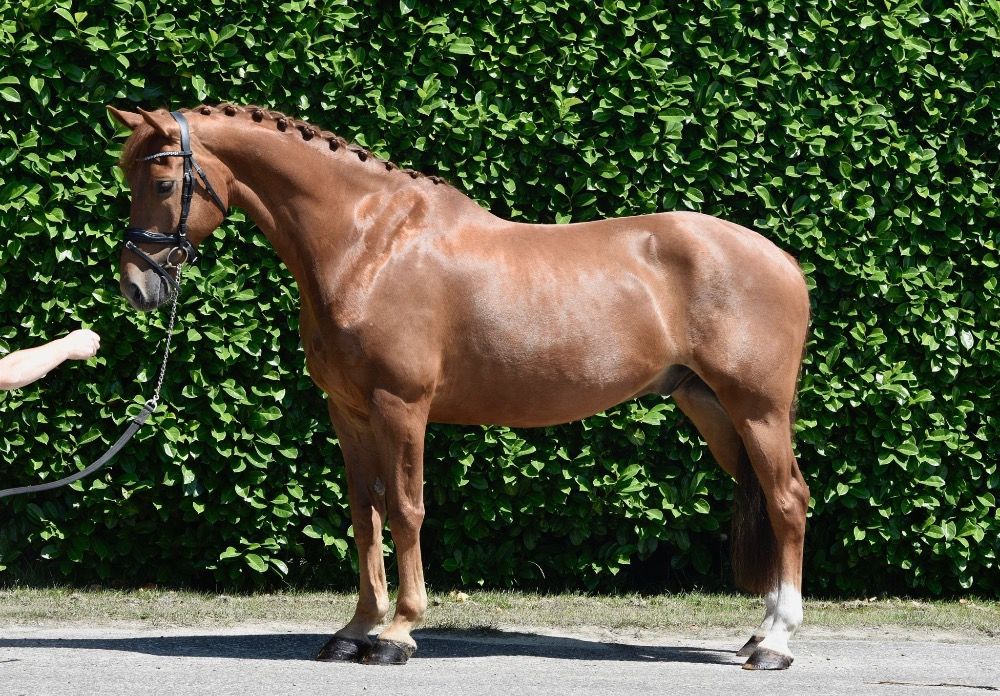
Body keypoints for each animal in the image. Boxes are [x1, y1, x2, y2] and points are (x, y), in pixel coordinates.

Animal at [108, 103, 811, 670]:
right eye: (127, 178)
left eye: (164, 182)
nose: (137, 286)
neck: (368, 245)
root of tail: (782, 260)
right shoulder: (349, 411)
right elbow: (364, 514)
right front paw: (355, 629)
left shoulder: (401, 406)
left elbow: (405, 509)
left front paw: (397, 633)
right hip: (711, 408)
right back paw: (759, 634)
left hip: (758, 410)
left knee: (787, 501)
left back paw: (776, 643)